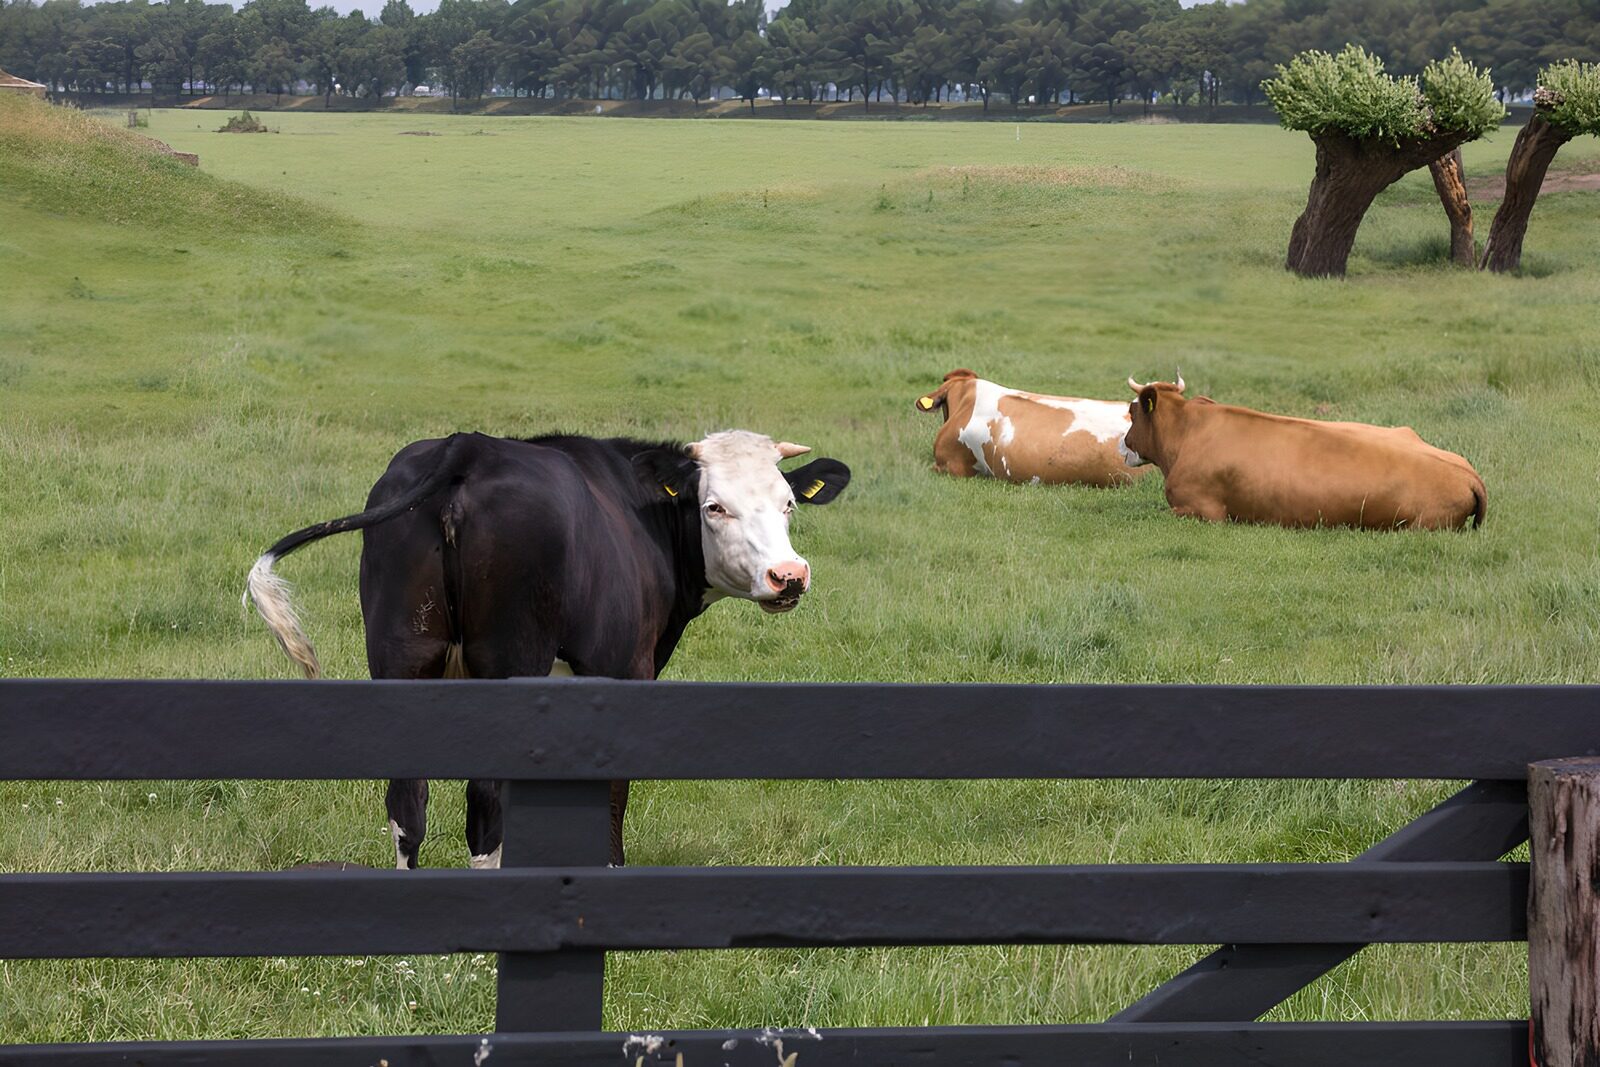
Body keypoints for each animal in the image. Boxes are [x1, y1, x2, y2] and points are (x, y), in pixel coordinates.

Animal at [245, 430, 851, 869]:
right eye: (715, 507)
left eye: (789, 504)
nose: (788, 575)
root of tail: (468, 446)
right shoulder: (623, 673)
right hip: (508, 661)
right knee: (483, 803)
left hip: (402, 654)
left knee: (407, 803)